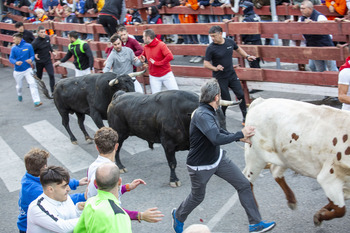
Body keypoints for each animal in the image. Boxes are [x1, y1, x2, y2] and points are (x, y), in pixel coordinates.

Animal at [106, 89, 238, 187]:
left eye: (222, 118)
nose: (222, 133)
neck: (181, 114)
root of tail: (119, 95)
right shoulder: (168, 144)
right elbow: (172, 163)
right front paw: (174, 180)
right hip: (119, 133)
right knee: (116, 149)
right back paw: (120, 166)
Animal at [242, 98, 350, 226]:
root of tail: (261, 101)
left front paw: (320, 213)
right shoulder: (328, 178)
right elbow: (340, 210)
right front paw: (320, 216)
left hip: (286, 156)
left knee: (275, 171)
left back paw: (291, 200)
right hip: (256, 155)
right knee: (247, 179)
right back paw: (255, 208)